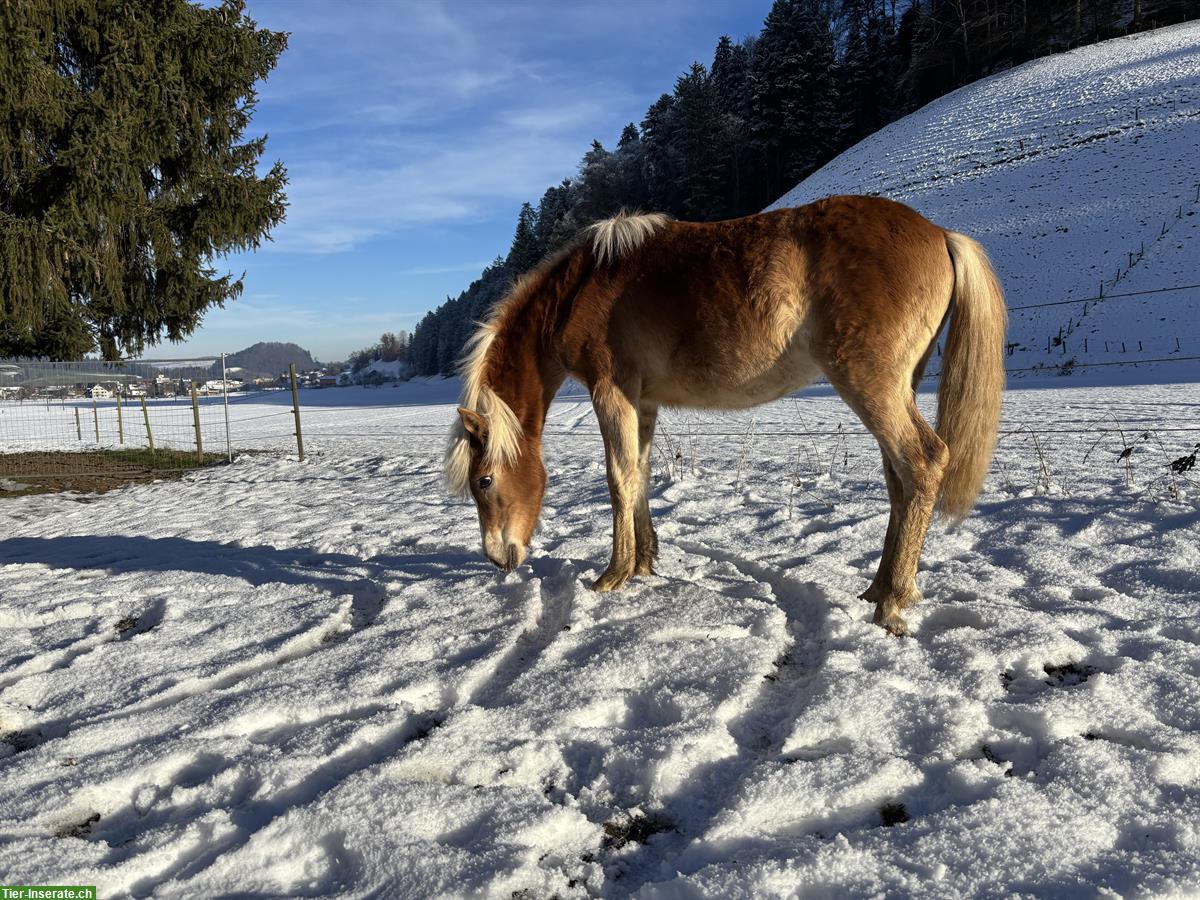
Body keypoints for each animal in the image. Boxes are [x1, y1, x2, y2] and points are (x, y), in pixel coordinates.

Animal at [444, 194, 1003, 638]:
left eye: (484, 480)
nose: (498, 558)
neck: (581, 286)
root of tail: (939, 234)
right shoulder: (642, 402)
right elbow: (640, 474)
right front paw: (644, 563)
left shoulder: (612, 393)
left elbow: (619, 479)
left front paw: (613, 574)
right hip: (898, 389)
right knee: (899, 481)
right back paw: (881, 587)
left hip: (872, 387)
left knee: (923, 463)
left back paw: (891, 601)